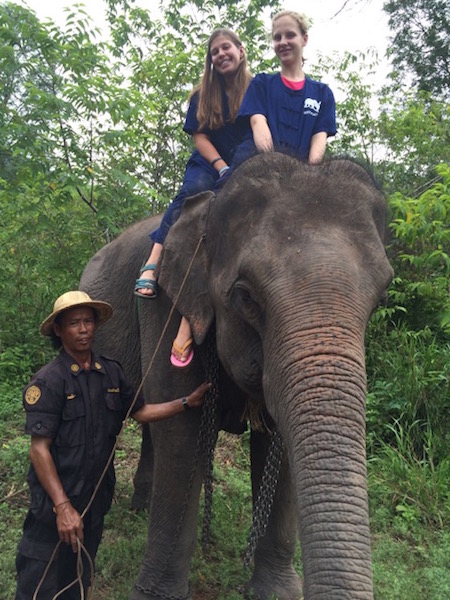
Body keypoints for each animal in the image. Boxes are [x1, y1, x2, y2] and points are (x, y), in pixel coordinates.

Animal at [80, 154, 394, 600]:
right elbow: (183, 434)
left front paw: (276, 592)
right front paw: (155, 595)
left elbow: (282, 446)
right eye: (245, 297)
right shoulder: (167, 305)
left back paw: (141, 507)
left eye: (380, 297)